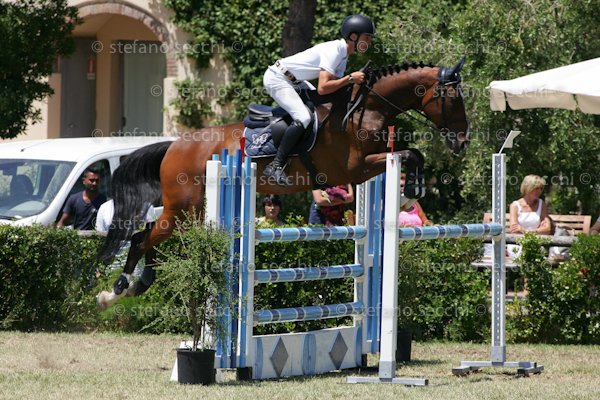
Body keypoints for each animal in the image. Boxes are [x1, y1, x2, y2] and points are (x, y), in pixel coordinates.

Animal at [96, 58, 469, 309]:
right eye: (453, 99)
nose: (462, 142)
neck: (367, 108)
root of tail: (175, 144)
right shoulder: (356, 169)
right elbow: (409, 154)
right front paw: (411, 191)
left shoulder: (369, 164)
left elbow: (413, 153)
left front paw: (412, 191)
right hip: (183, 207)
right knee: (141, 237)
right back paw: (116, 289)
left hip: (190, 212)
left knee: (149, 234)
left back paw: (140, 283)